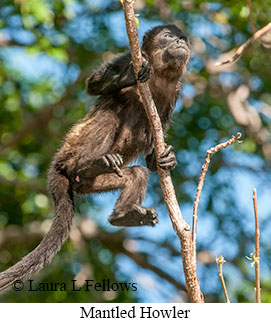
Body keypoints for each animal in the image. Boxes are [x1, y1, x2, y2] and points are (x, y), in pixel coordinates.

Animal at [0, 24, 191, 290]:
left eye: (183, 39)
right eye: (167, 36)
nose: (180, 42)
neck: (161, 74)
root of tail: (60, 167)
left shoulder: (176, 91)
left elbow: (156, 139)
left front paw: (165, 160)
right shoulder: (129, 56)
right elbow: (93, 86)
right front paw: (126, 78)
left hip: (92, 184)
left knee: (136, 173)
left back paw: (122, 213)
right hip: (71, 151)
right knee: (109, 115)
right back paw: (88, 164)